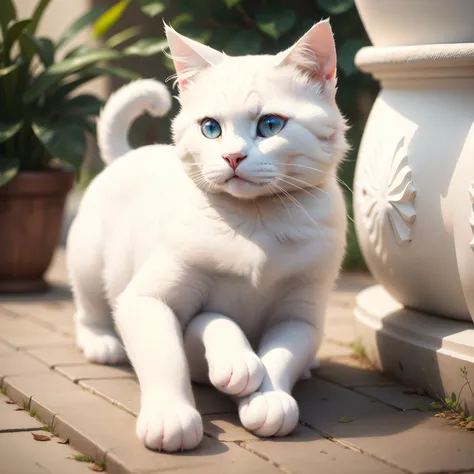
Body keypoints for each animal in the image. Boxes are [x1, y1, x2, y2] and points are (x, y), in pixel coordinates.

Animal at [66, 20, 348, 454]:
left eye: (271, 125)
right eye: (210, 128)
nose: (232, 157)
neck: (257, 224)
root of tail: (129, 153)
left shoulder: (302, 311)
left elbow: (282, 354)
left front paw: (268, 398)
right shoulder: (148, 299)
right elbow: (176, 350)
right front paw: (172, 416)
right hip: (87, 263)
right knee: (88, 310)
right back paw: (102, 343)